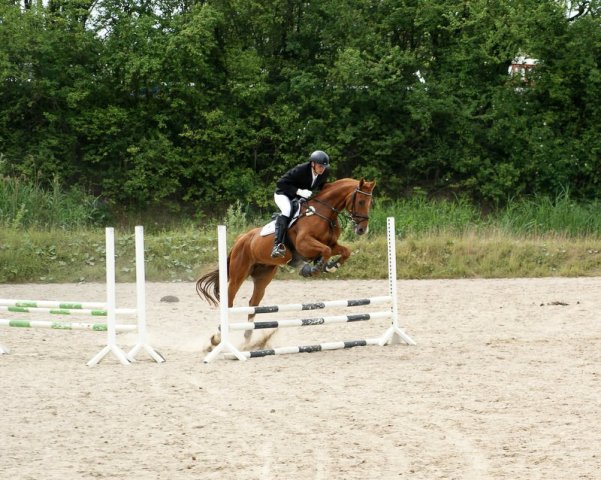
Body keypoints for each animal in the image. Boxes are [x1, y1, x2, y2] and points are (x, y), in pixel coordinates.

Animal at [196, 177, 376, 346]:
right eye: (361, 201)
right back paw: (217, 338)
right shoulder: (304, 244)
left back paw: (248, 337)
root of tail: (241, 240)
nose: (362, 229)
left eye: (370, 202)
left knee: (253, 303)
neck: (324, 213)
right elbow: (325, 251)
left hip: (263, 276)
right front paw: (314, 269)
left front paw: (332, 266)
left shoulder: (332, 244)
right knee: (230, 300)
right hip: (238, 274)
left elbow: (343, 251)